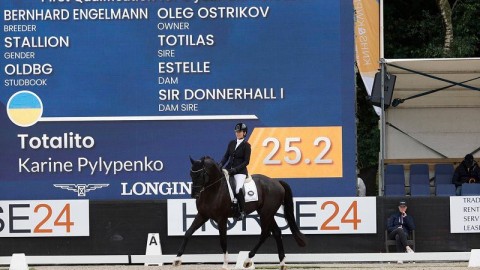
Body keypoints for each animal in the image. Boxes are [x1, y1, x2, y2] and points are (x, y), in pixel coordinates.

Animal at [173, 156, 308, 270]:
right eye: (191, 173)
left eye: (201, 174)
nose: (194, 195)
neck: (214, 190)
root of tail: (277, 182)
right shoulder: (202, 215)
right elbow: (188, 233)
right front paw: (177, 259)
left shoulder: (221, 219)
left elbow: (223, 240)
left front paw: (225, 264)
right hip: (267, 213)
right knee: (276, 232)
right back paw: (282, 263)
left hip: (266, 213)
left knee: (265, 234)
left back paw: (248, 260)